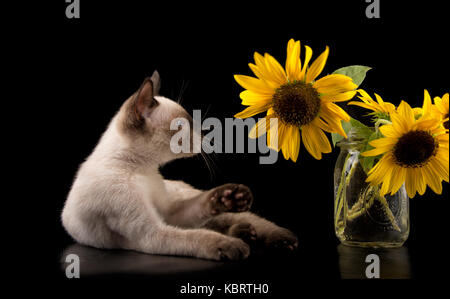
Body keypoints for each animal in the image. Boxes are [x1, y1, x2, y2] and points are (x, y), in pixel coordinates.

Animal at [61, 71, 298, 262]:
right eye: (184, 125)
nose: (205, 135)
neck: (143, 170)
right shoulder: (153, 231)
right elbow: (196, 237)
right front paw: (230, 246)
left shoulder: (170, 213)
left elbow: (201, 207)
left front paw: (226, 198)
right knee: (209, 228)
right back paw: (243, 235)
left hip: (201, 206)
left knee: (244, 219)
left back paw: (274, 234)